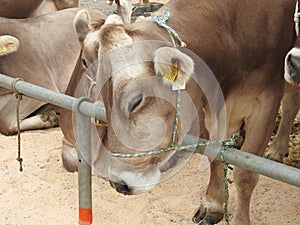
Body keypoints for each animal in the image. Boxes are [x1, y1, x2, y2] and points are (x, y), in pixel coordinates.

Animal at [62, 0, 296, 224]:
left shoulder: (266, 101)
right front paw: (212, 205)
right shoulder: (216, 108)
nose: (120, 184)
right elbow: (215, 156)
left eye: (135, 101)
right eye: (86, 63)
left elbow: (245, 173)